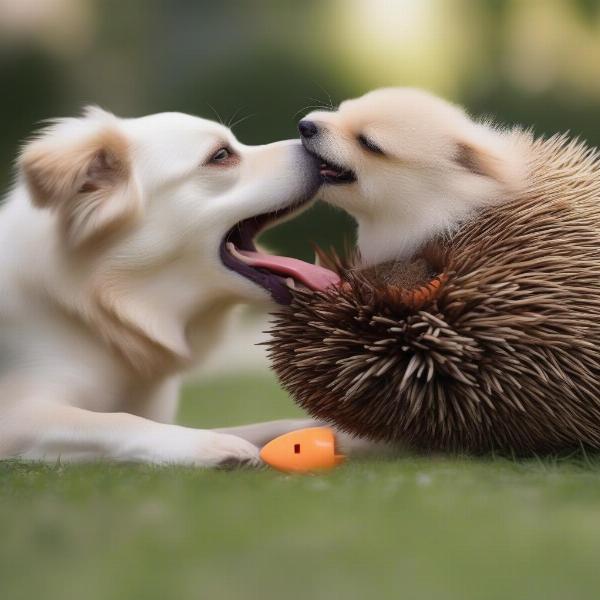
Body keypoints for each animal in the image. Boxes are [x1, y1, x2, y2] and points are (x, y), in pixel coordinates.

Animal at [0, 105, 342, 466]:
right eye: (221, 155)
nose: (310, 136)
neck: (105, 308)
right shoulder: (18, 416)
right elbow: (116, 420)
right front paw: (208, 446)